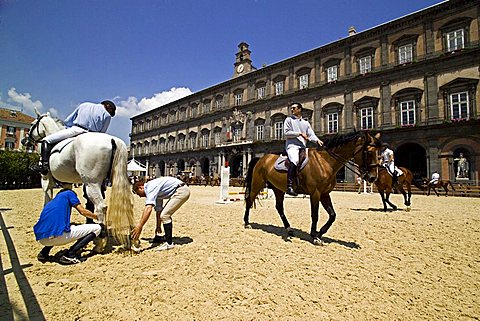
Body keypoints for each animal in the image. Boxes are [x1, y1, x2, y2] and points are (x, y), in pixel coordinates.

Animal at [24, 109, 137, 251]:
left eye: (32, 124)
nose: (24, 141)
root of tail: (112, 139)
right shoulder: (67, 183)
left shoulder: (46, 180)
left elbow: (47, 200)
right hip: (116, 179)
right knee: (127, 204)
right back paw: (134, 240)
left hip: (91, 183)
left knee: (101, 207)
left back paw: (100, 241)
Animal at [244, 131, 382, 244]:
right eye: (369, 152)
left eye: (378, 153)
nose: (373, 178)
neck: (325, 162)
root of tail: (261, 159)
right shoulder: (315, 193)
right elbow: (315, 214)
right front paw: (315, 236)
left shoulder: (325, 194)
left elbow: (332, 215)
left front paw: (320, 233)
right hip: (257, 184)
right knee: (249, 200)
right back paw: (247, 223)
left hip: (278, 189)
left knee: (279, 207)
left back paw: (289, 229)